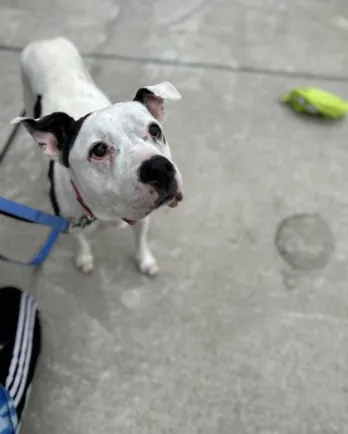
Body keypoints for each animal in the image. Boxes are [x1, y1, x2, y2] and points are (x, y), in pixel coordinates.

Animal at [10, 36, 184, 274]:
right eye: (99, 150)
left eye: (155, 130)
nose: (159, 168)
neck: (108, 213)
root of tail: (45, 39)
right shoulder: (71, 223)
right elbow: (81, 242)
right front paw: (84, 258)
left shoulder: (142, 220)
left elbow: (140, 241)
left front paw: (145, 260)